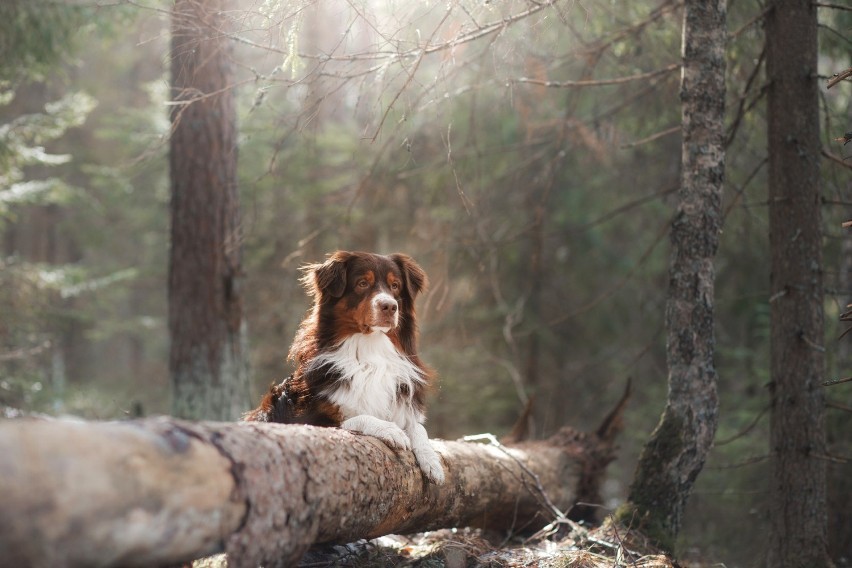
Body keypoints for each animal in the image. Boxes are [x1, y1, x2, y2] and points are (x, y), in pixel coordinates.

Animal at [243, 252, 446, 484]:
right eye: (362, 283)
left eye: (395, 286)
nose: (389, 306)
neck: (370, 351)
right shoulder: (307, 420)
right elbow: (354, 419)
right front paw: (390, 429)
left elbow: (418, 427)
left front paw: (431, 461)